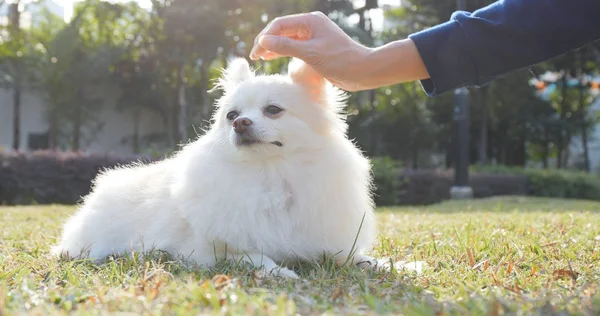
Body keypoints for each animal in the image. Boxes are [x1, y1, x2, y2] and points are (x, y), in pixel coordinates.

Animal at [51, 57, 384, 278]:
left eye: (273, 110)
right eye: (231, 115)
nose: (241, 123)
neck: (270, 174)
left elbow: (343, 256)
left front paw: (372, 262)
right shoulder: (209, 251)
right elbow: (253, 256)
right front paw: (280, 272)